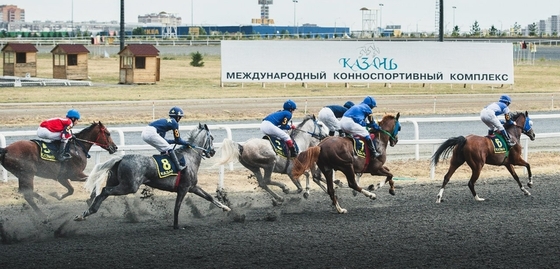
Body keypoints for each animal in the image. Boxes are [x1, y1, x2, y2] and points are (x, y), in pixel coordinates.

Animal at [75, 123, 231, 228]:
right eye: (212, 137)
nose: (212, 152)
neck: (189, 157)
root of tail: (121, 158)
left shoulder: (192, 187)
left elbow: (209, 197)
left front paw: (226, 208)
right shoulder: (184, 188)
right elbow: (177, 207)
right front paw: (176, 226)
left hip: (115, 181)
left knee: (101, 194)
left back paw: (85, 214)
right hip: (129, 186)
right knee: (105, 191)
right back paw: (87, 213)